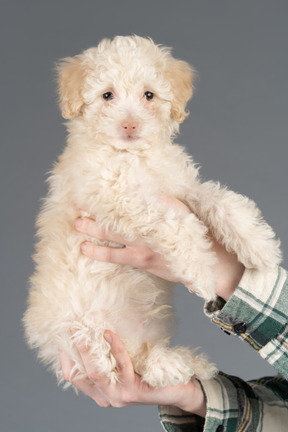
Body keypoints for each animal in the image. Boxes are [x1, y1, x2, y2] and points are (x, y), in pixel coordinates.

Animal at [22, 35, 282, 388]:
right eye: (107, 95)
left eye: (149, 95)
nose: (130, 124)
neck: (133, 156)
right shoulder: (117, 199)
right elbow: (177, 222)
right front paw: (200, 271)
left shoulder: (179, 186)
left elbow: (219, 200)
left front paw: (258, 245)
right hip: (85, 334)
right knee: (126, 364)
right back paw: (173, 365)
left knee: (144, 358)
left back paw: (188, 364)